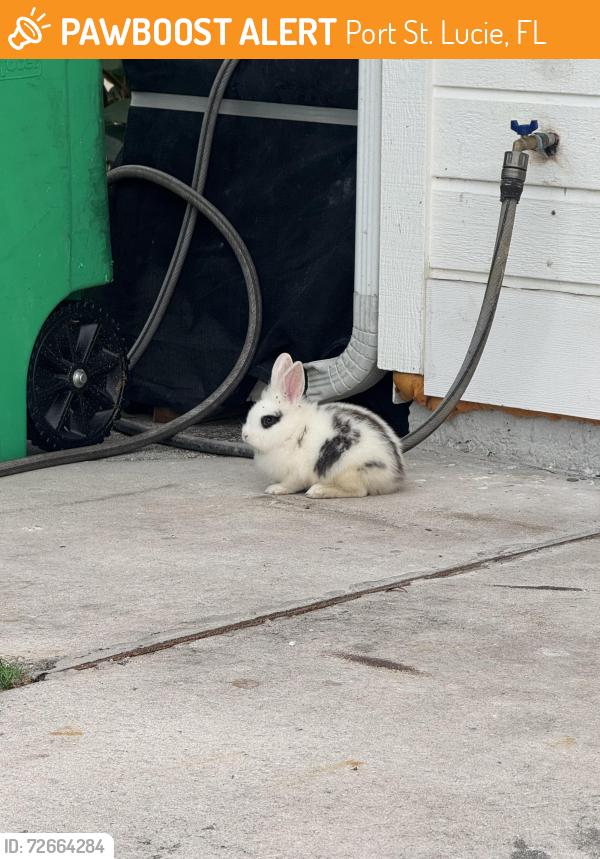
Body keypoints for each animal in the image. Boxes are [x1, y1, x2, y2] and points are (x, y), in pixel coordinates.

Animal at [241, 353, 404, 498]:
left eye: (268, 420)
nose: (245, 435)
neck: (292, 433)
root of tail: (395, 475)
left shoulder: (296, 473)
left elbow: (290, 484)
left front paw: (275, 489)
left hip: (348, 470)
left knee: (358, 491)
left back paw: (318, 491)